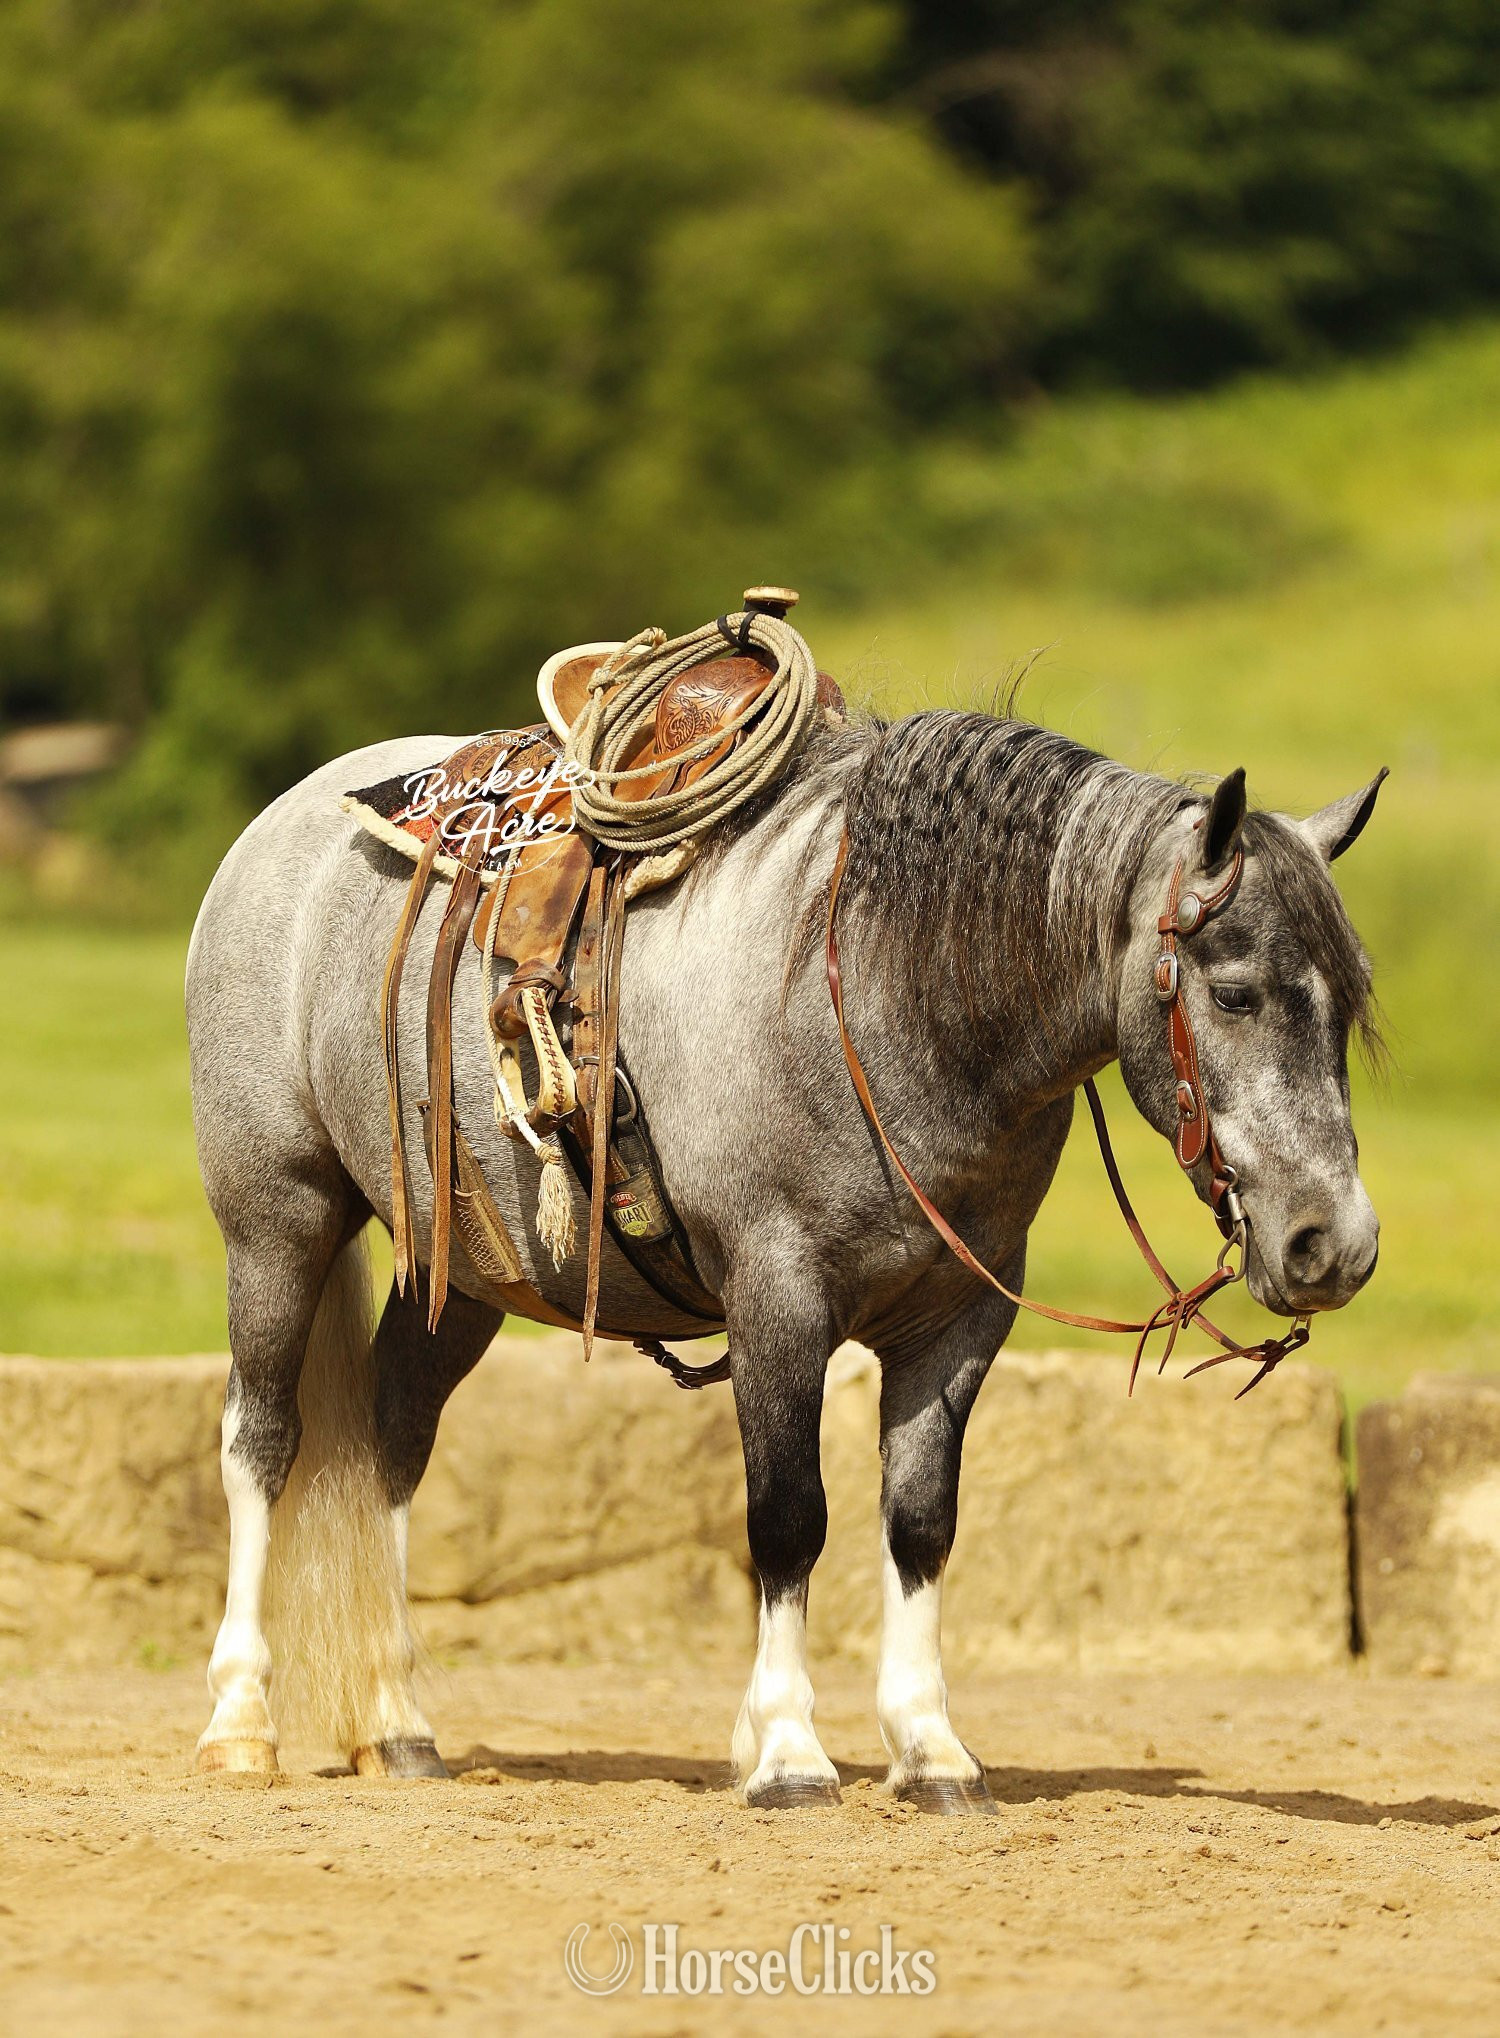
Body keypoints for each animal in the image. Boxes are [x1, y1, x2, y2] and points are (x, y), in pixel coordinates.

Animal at [186, 702, 1383, 1809]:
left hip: (465, 1268)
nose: (1336, 1244)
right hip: (278, 1219)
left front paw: (929, 1748)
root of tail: (279, 825)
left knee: (392, 1437)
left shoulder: (958, 1320)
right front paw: (788, 1752)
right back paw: (239, 1723)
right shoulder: (779, 1302)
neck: (887, 993)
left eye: (1351, 1003)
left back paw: (397, 1724)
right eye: (1233, 992)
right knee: (262, 1443)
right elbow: (789, 1518)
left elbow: (920, 1522)